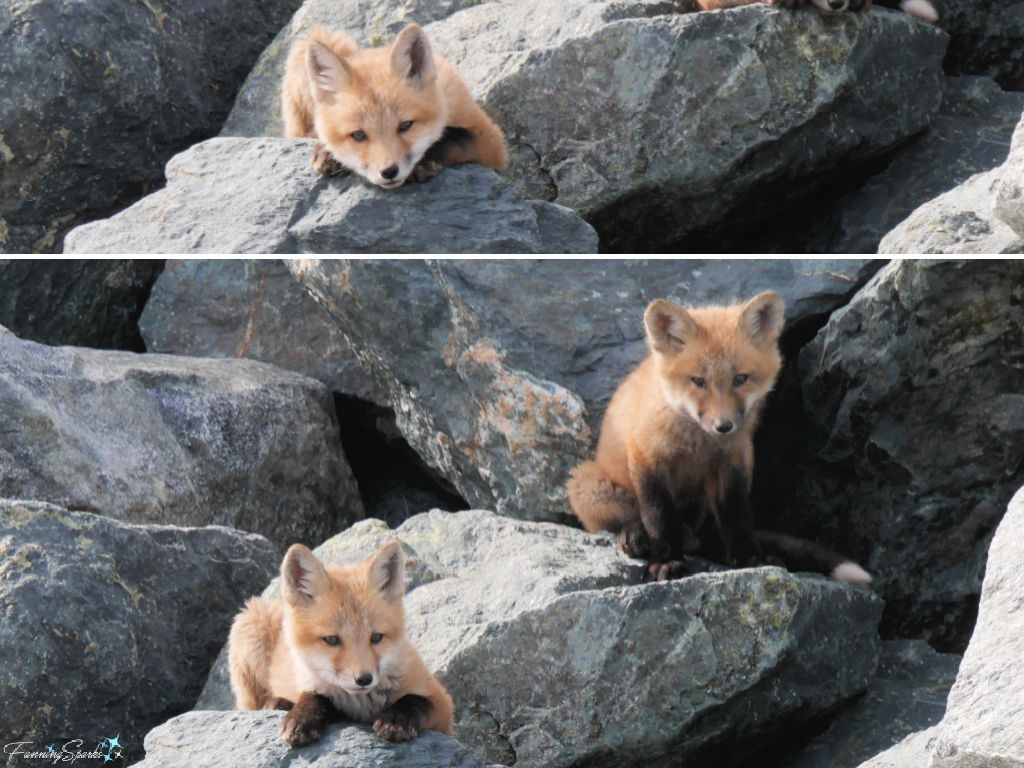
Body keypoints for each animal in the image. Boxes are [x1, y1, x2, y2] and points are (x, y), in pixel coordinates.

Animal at [228, 540, 454, 747]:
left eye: (376, 637)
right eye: (331, 640)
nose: (364, 679)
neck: (361, 704)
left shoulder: (443, 704)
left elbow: (415, 700)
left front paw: (396, 719)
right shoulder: (312, 683)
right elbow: (316, 697)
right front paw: (301, 718)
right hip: (251, 626)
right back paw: (278, 703)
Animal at [281, 23, 509, 189]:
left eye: (406, 125)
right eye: (358, 135)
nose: (389, 172)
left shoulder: (492, 142)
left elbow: (455, 138)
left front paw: (426, 161)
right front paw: (327, 152)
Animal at [566, 292, 872, 585]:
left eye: (740, 379)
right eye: (698, 381)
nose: (724, 426)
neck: (698, 444)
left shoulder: (734, 460)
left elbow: (737, 516)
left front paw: (749, 558)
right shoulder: (647, 456)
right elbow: (659, 517)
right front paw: (666, 560)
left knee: (697, 536)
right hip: (587, 484)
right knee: (633, 520)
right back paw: (634, 535)